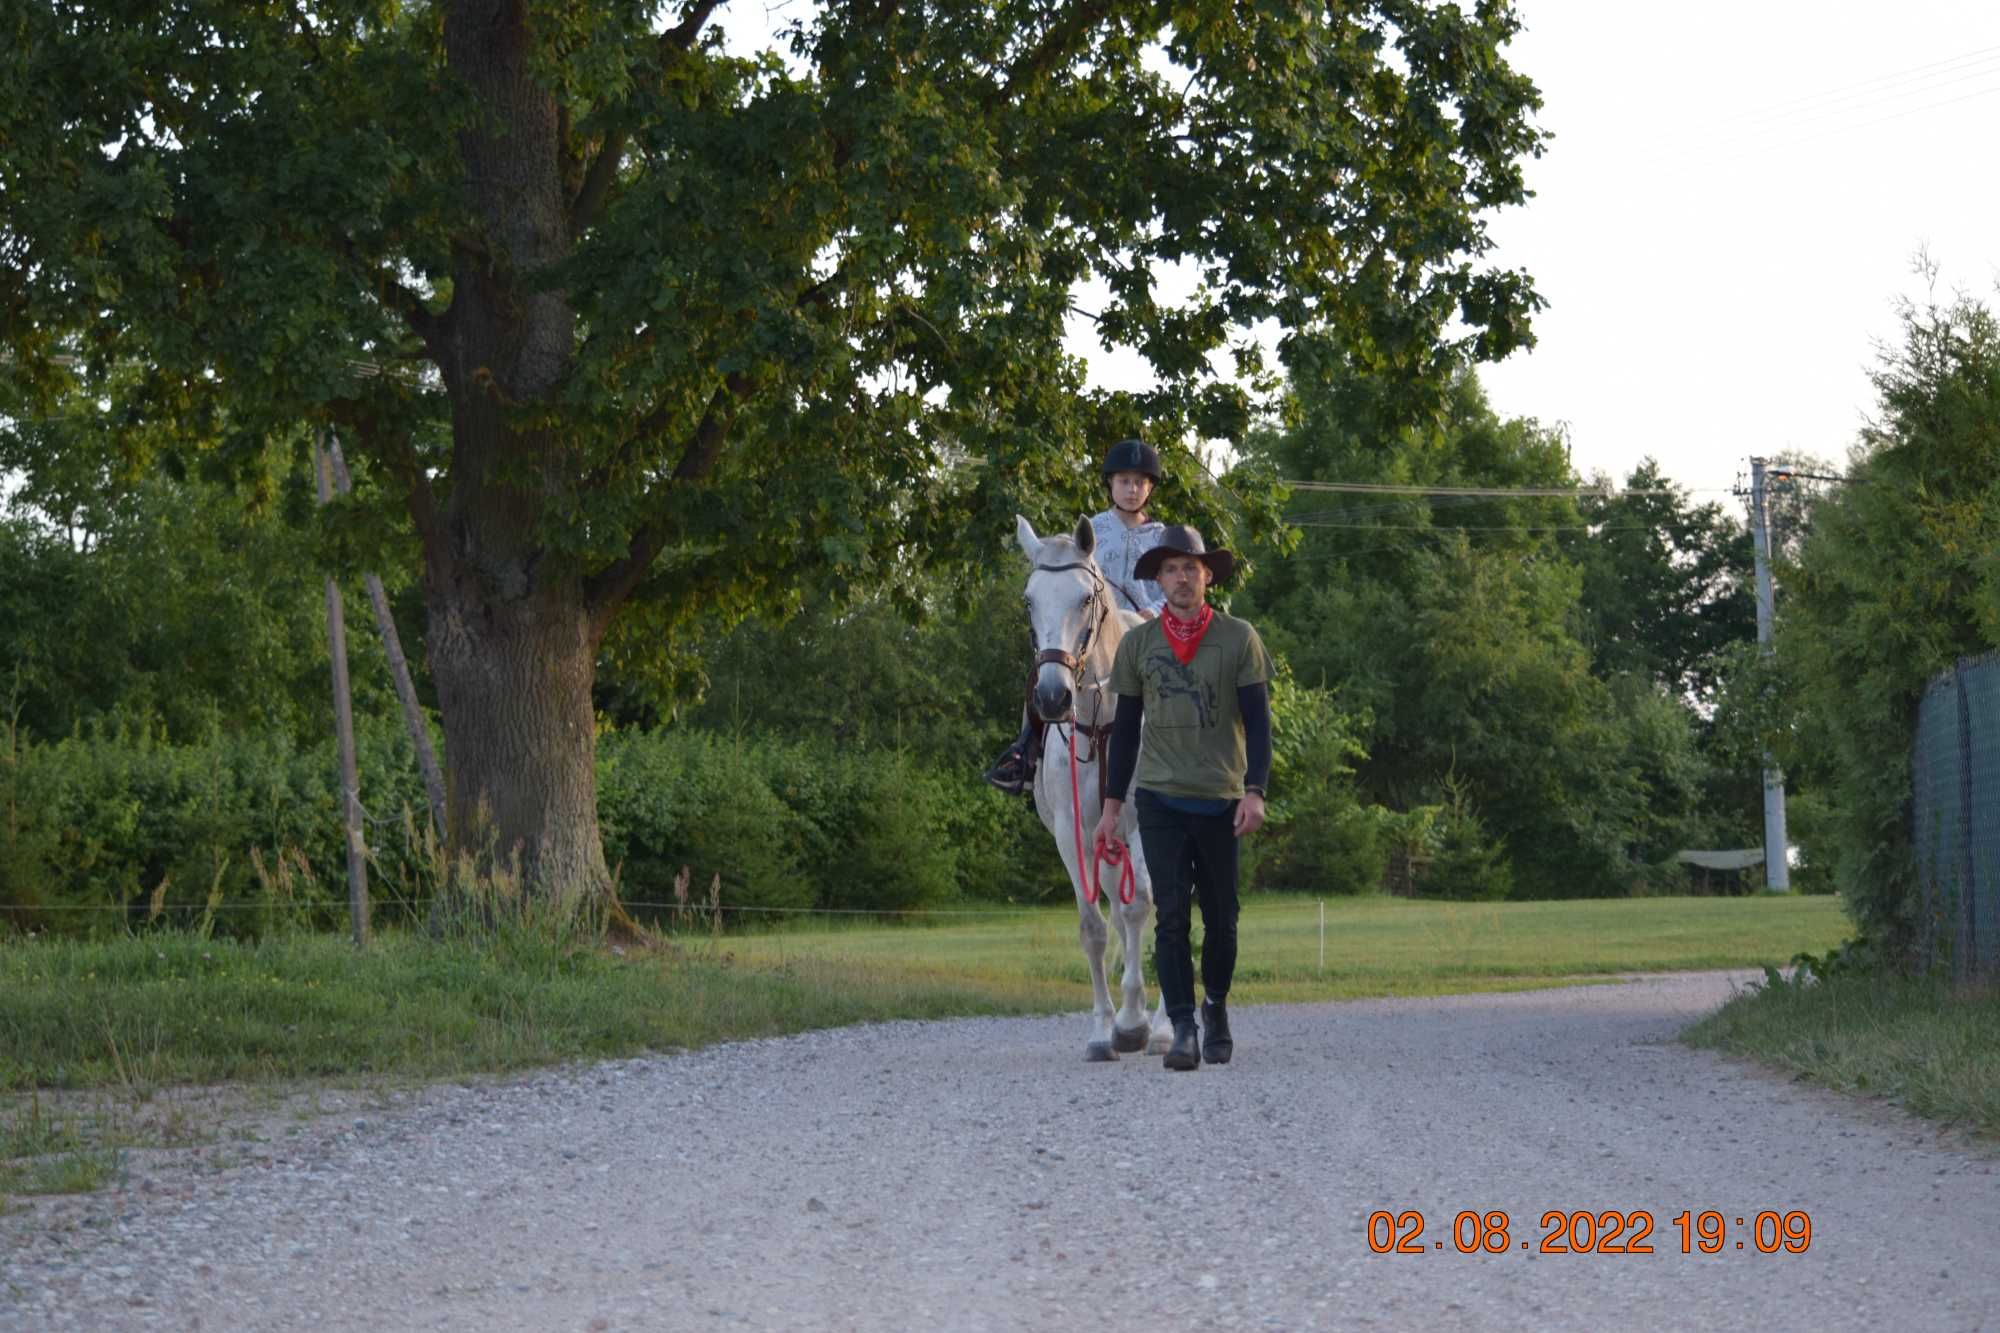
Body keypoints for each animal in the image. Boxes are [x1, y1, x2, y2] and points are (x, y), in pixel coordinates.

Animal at [1016, 510, 1168, 1056]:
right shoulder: (1072, 833)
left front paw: (1135, 1023)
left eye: (1085, 599)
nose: (1052, 696)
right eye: (1029, 600)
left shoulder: (1147, 824)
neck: (1104, 725)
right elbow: (1094, 926)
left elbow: (1142, 906)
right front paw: (1106, 1028)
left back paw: (1162, 1025)